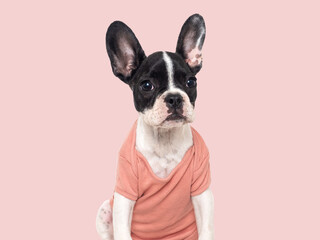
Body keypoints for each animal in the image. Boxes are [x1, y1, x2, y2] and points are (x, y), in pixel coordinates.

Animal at [96, 13, 214, 240]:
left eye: (191, 82)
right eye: (146, 85)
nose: (174, 98)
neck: (164, 139)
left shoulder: (201, 193)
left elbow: (206, 229)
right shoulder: (124, 197)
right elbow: (122, 230)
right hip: (105, 210)